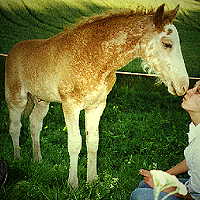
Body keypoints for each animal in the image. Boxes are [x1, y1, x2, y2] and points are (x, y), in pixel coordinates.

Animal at [5, 3, 189, 187]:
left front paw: (92, 180)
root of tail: (12, 50)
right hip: (16, 99)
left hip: (42, 101)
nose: (184, 85)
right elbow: (75, 143)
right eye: (167, 44)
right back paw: (17, 158)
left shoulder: (96, 106)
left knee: (34, 125)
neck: (92, 57)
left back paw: (37, 159)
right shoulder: (70, 106)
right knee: (15, 127)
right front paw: (73, 184)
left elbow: (93, 141)